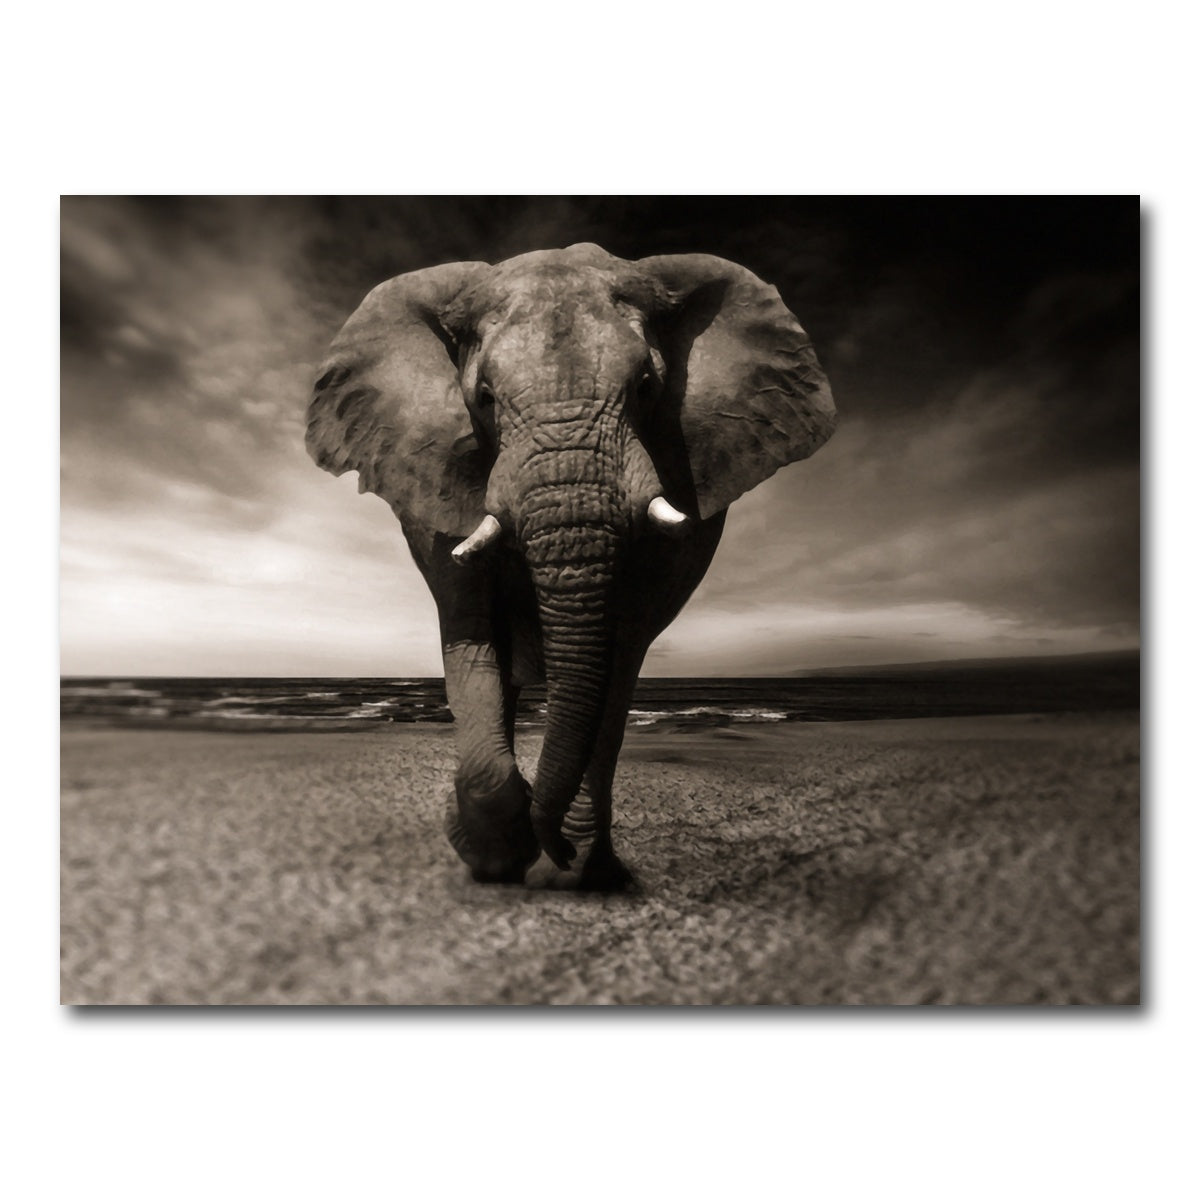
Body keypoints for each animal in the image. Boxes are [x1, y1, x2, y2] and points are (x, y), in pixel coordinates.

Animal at [305, 242, 836, 889]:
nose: (551, 845)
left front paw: (570, 865)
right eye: (484, 398)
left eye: (646, 387)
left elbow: (620, 651)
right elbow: (471, 631)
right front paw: (496, 856)